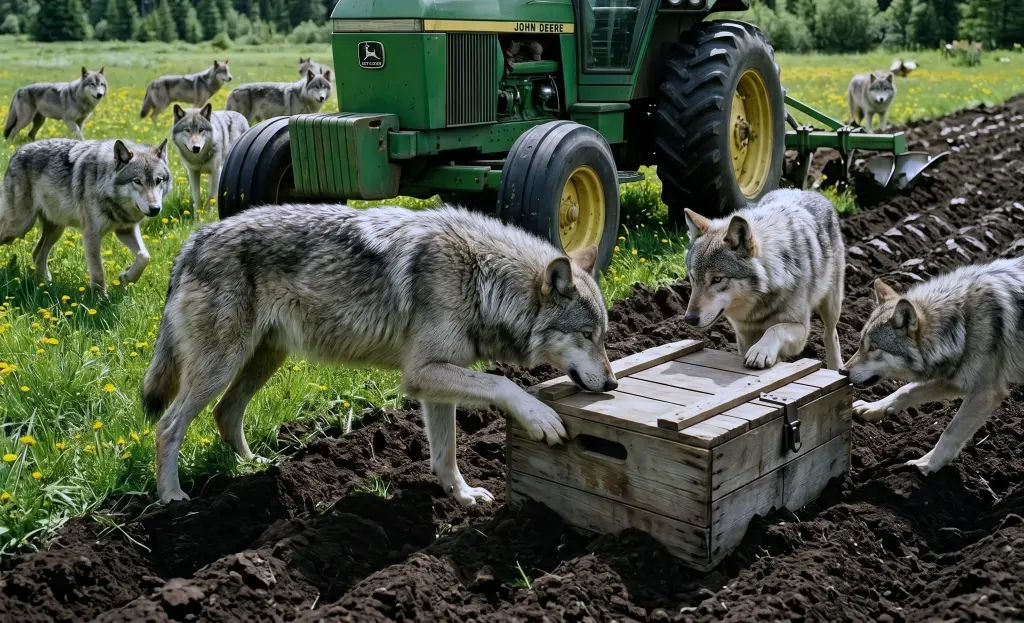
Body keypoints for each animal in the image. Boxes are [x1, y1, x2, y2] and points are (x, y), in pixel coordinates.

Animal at [0, 138, 172, 294]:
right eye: (137, 181)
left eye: (158, 181)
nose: (155, 209)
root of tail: (17, 152)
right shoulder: (91, 235)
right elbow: (98, 273)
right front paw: (100, 301)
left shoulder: (125, 229)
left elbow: (144, 256)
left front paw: (126, 277)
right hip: (20, 226)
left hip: (56, 230)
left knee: (37, 254)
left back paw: (46, 285)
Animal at [141, 203, 617, 503]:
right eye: (588, 335)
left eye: (605, 336)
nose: (612, 383)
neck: (482, 277)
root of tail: (193, 240)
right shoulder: (423, 374)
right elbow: (503, 383)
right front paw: (540, 418)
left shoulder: (437, 385)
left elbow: (446, 455)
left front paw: (461, 496)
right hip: (221, 366)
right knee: (168, 426)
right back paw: (172, 497)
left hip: (261, 361)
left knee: (225, 412)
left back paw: (254, 466)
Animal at [682, 189, 845, 371]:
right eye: (693, 277)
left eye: (717, 279)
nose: (690, 319)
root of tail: (807, 191)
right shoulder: (743, 335)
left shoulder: (801, 329)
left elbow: (775, 328)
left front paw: (760, 352)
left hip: (831, 305)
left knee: (831, 334)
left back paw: (836, 367)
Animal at [842, 259, 1024, 475]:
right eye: (860, 344)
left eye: (873, 348)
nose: (842, 371)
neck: (964, 323)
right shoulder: (955, 380)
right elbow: (905, 390)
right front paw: (873, 407)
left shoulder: (986, 392)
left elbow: (950, 432)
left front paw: (926, 465)